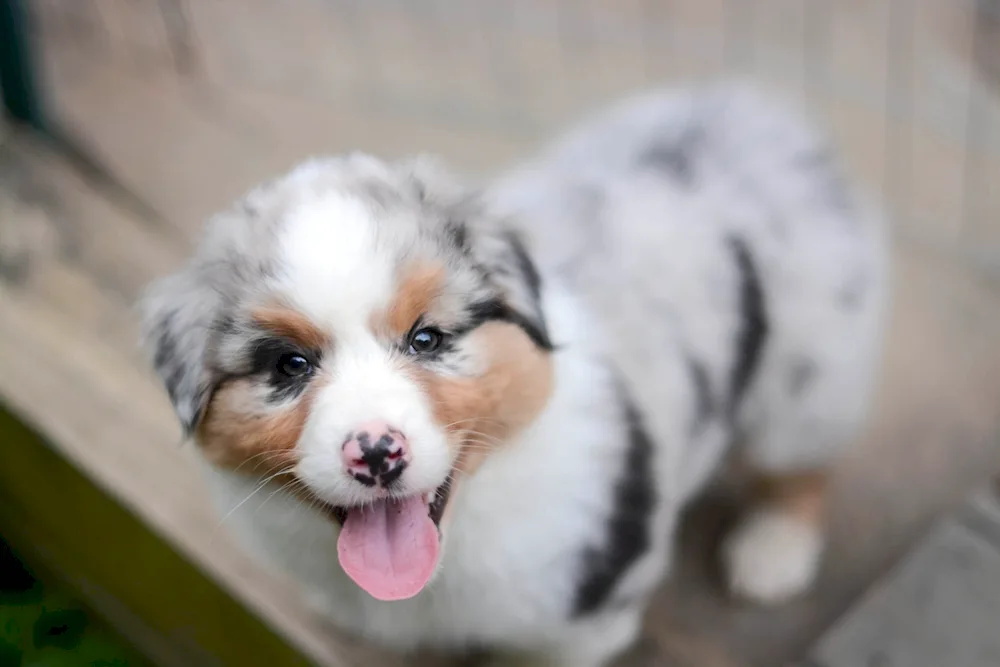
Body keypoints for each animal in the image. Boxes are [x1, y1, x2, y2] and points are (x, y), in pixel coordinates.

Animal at [139, 85, 884, 667]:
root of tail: (763, 112)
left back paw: (772, 555)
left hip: (811, 375)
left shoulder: (582, 617)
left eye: (428, 338)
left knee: (803, 467)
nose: (376, 453)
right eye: (289, 365)